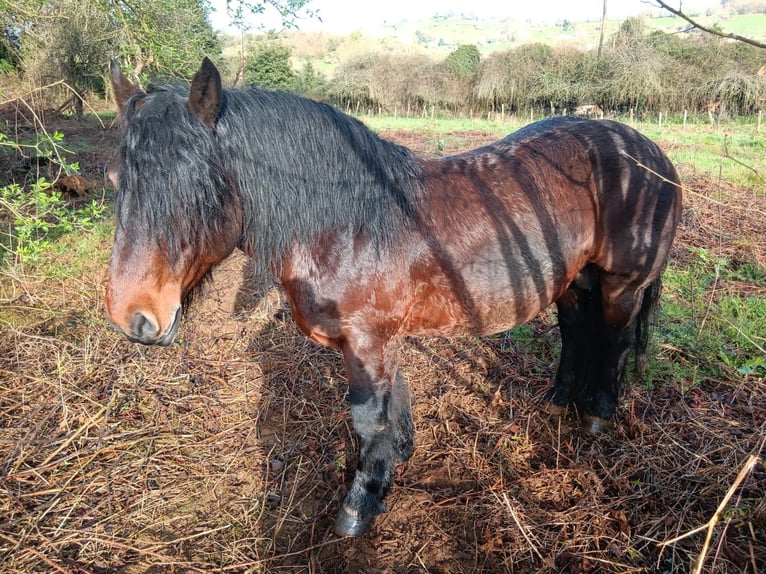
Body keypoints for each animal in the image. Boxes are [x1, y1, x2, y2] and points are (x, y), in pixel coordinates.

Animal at [105, 57, 682, 537]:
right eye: (116, 179)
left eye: (195, 186)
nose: (132, 317)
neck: (347, 226)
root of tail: (649, 153)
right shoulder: (381, 341)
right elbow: (393, 411)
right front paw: (395, 463)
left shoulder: (369, 343)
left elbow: (368, 421)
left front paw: (360, 505)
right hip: (573, 280)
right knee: (576, 332)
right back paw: (558, 400)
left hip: (622, 285)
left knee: (615, 341)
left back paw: (598, 415)